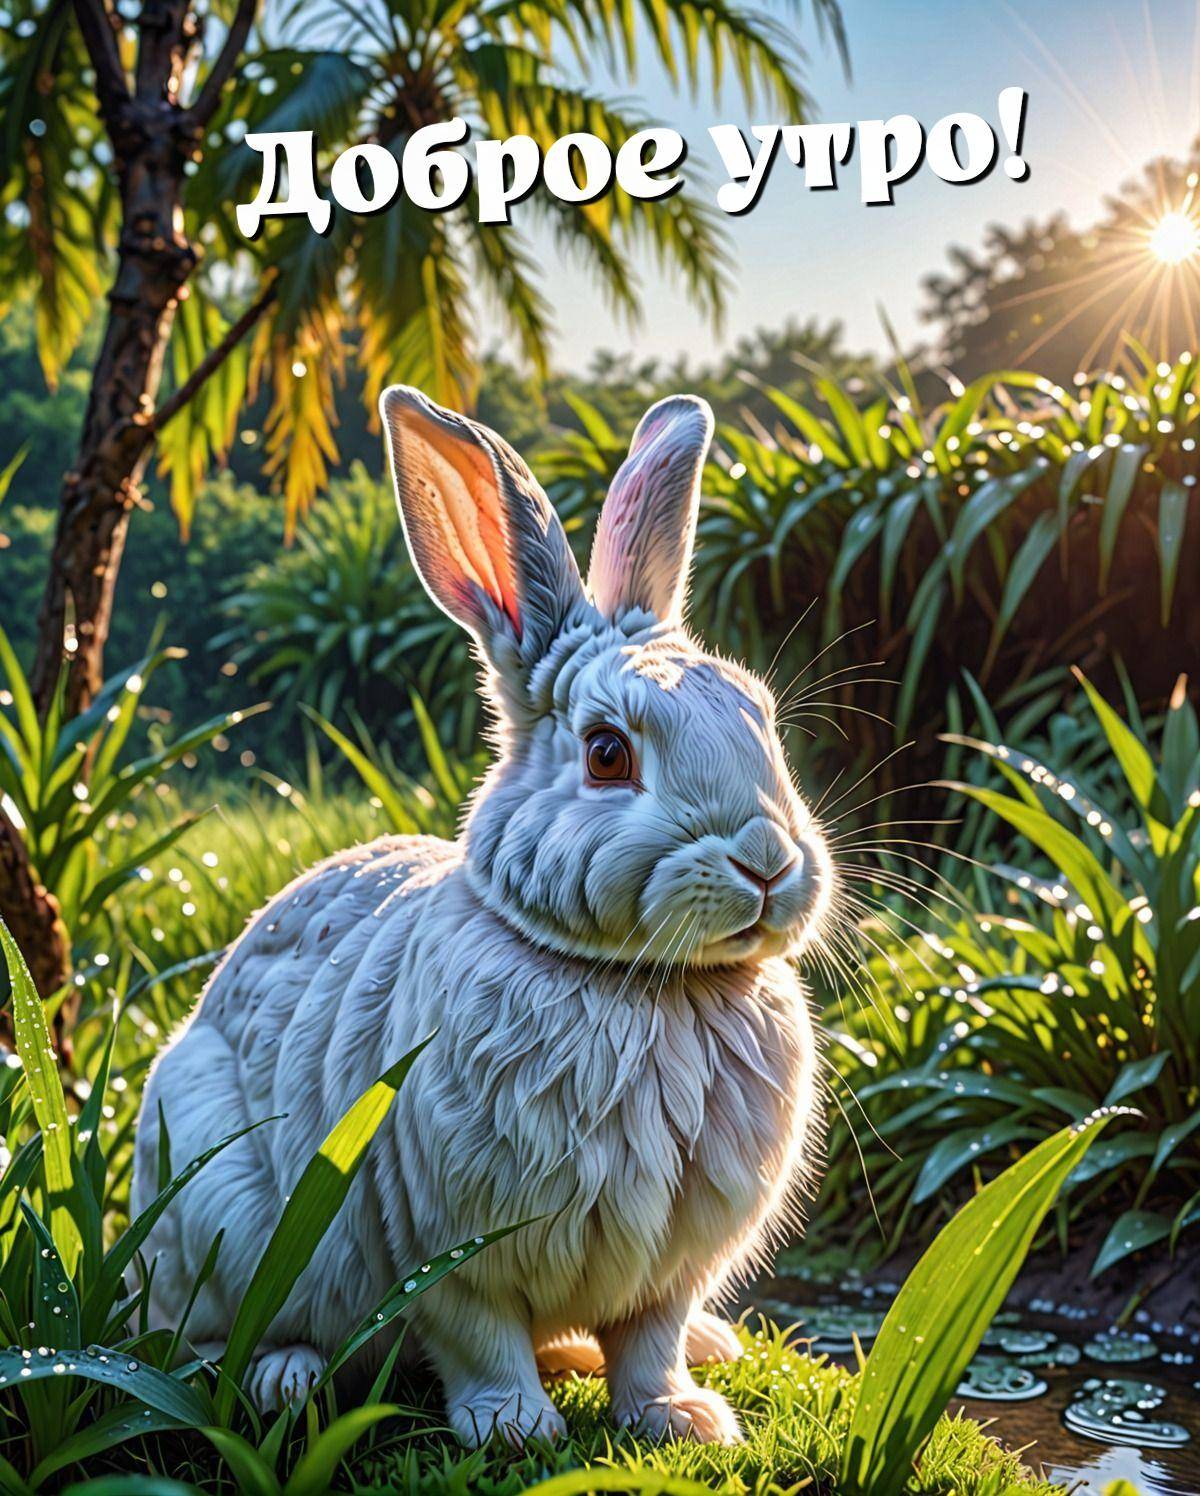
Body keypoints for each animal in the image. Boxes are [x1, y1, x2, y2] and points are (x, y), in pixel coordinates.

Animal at [132, 385, 835, 1447]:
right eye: (606, 754)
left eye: (764, 720)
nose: (768, 862)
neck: (637, 983)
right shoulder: (443, 1239)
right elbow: (479, 1336)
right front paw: (516, 1430)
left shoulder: (670, 1264)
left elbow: (650, 1338)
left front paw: (681, 1419)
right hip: (213, 1210)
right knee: (203, 1337)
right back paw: (283, 1377)